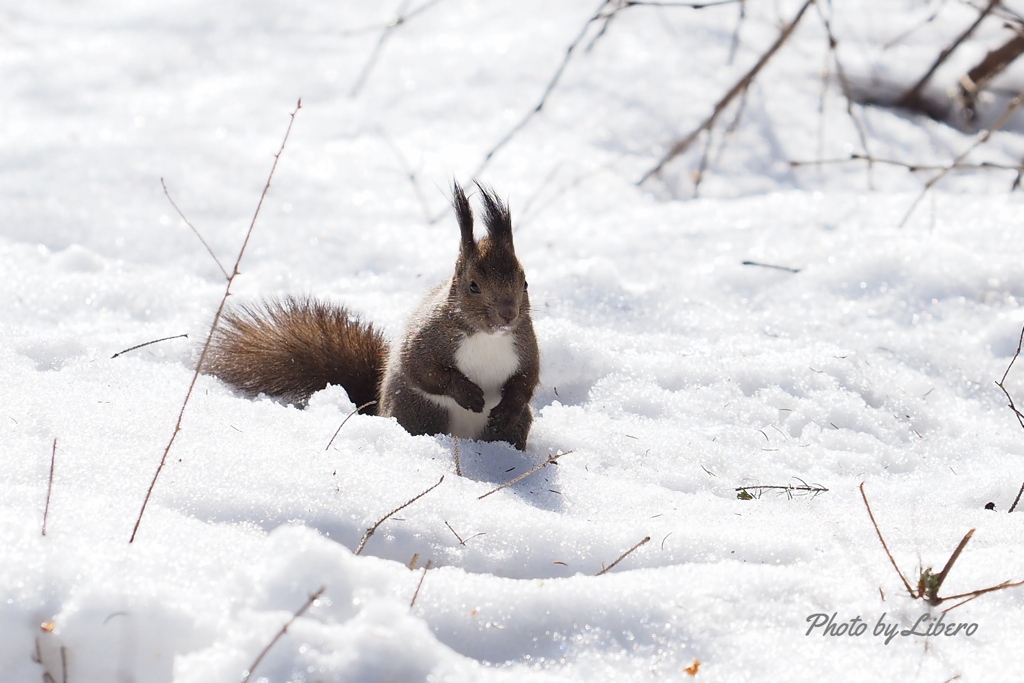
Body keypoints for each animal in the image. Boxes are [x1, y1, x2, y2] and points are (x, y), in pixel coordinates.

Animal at [197, 181, 544, 448]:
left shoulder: (525, 344)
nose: (507, 315)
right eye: (473, 286)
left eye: (525, 283)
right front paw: (467, 392)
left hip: (512, 425)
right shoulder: (427, 338)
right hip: (421, 410)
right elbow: (423, 370)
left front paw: (508, 405)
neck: (486, 336)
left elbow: (527, 379)